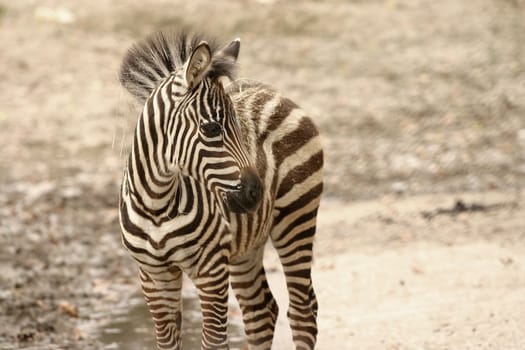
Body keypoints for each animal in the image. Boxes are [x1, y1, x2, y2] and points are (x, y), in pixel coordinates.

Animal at [119, 30, 324, 350]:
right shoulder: (153, 276)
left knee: (303, 310)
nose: (256, 193)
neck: (157, 205)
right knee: (261, 312)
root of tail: (273, 92)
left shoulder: (212, 270)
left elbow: (214, 342)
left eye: (239, 127)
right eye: (211, 129)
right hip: (246, 245)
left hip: (296, 217)